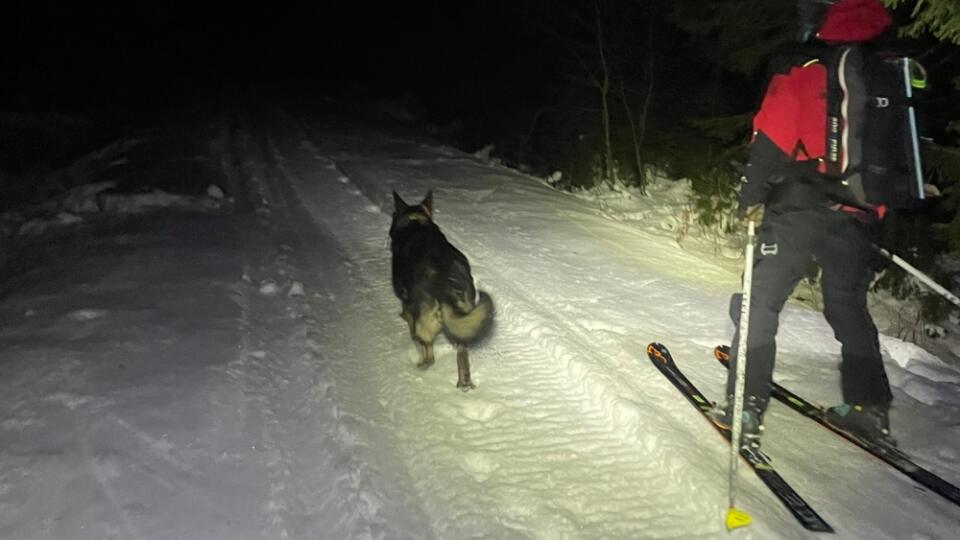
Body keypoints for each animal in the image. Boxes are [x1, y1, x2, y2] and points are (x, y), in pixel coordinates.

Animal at [390, 190, 496, 388]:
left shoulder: (408, 303)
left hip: (423, 325)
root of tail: (445, 282)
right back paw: (465, 383)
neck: (415, 221)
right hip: (464, 318)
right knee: (462, 351)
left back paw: (424, 363)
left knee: (428, 350)